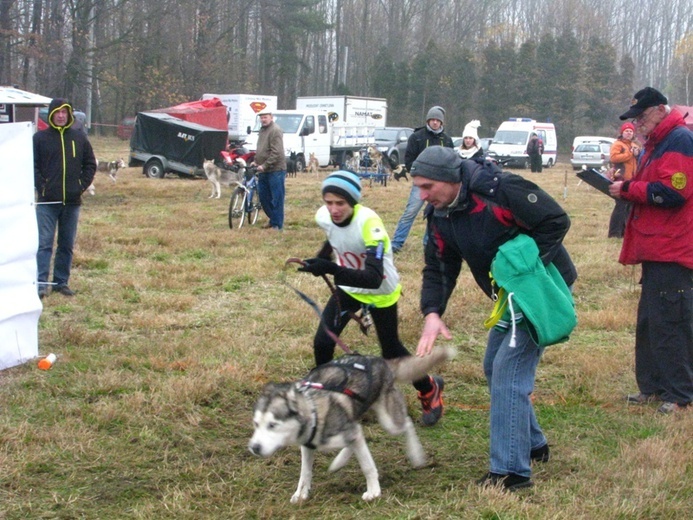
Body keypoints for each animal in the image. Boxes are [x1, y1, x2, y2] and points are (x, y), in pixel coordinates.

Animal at [249, 348, 454, 502]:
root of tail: (381, 361)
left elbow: (368, 466)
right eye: (256, 424)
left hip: (389, 421)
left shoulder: (348, 434)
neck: (314, 411)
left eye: (273, 425)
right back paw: (340, 460)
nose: (254, 447)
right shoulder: (308, 445)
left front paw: (374, 492)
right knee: (358, 434)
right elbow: (305, 473)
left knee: (406, 424)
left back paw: (416, 455)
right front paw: (301, 494)